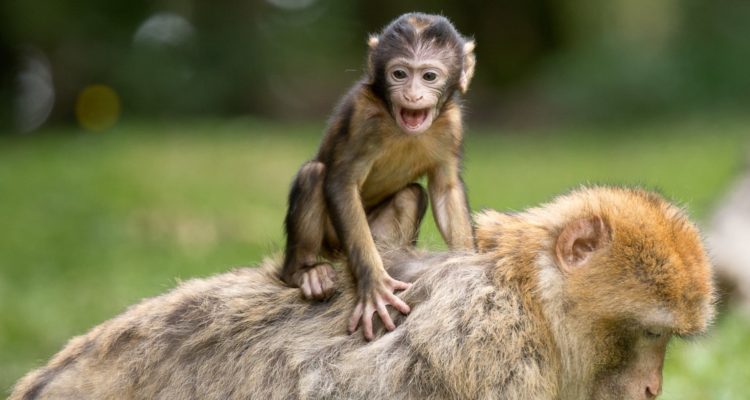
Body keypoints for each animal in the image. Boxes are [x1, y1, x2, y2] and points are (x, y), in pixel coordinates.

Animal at [282, 12, 476, 340]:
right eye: (399, 74)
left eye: (429, 77)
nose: (412, 94)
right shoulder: (363, 117)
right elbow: (342, 183)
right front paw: (373, 285)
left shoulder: (452, 124)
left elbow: (445, 189)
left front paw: (467, 268)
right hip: (333, 241)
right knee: (314, 174)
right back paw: (304, 273)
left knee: (411, 194)